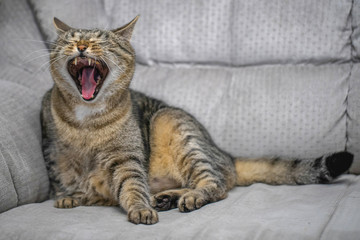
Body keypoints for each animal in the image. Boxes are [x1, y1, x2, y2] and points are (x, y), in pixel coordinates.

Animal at [40, 16, 352, 225]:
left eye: (102, 40)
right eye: (69, 39)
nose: (81, 45)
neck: (87, 122)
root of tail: (227, 155)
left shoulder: (127, 157)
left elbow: (131, 186)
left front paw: (140, 209)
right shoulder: (54, 153)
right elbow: (64, 179)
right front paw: (72, 195)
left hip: (174, 124)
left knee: (216, 183)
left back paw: (186, 197)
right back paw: (166, 197)